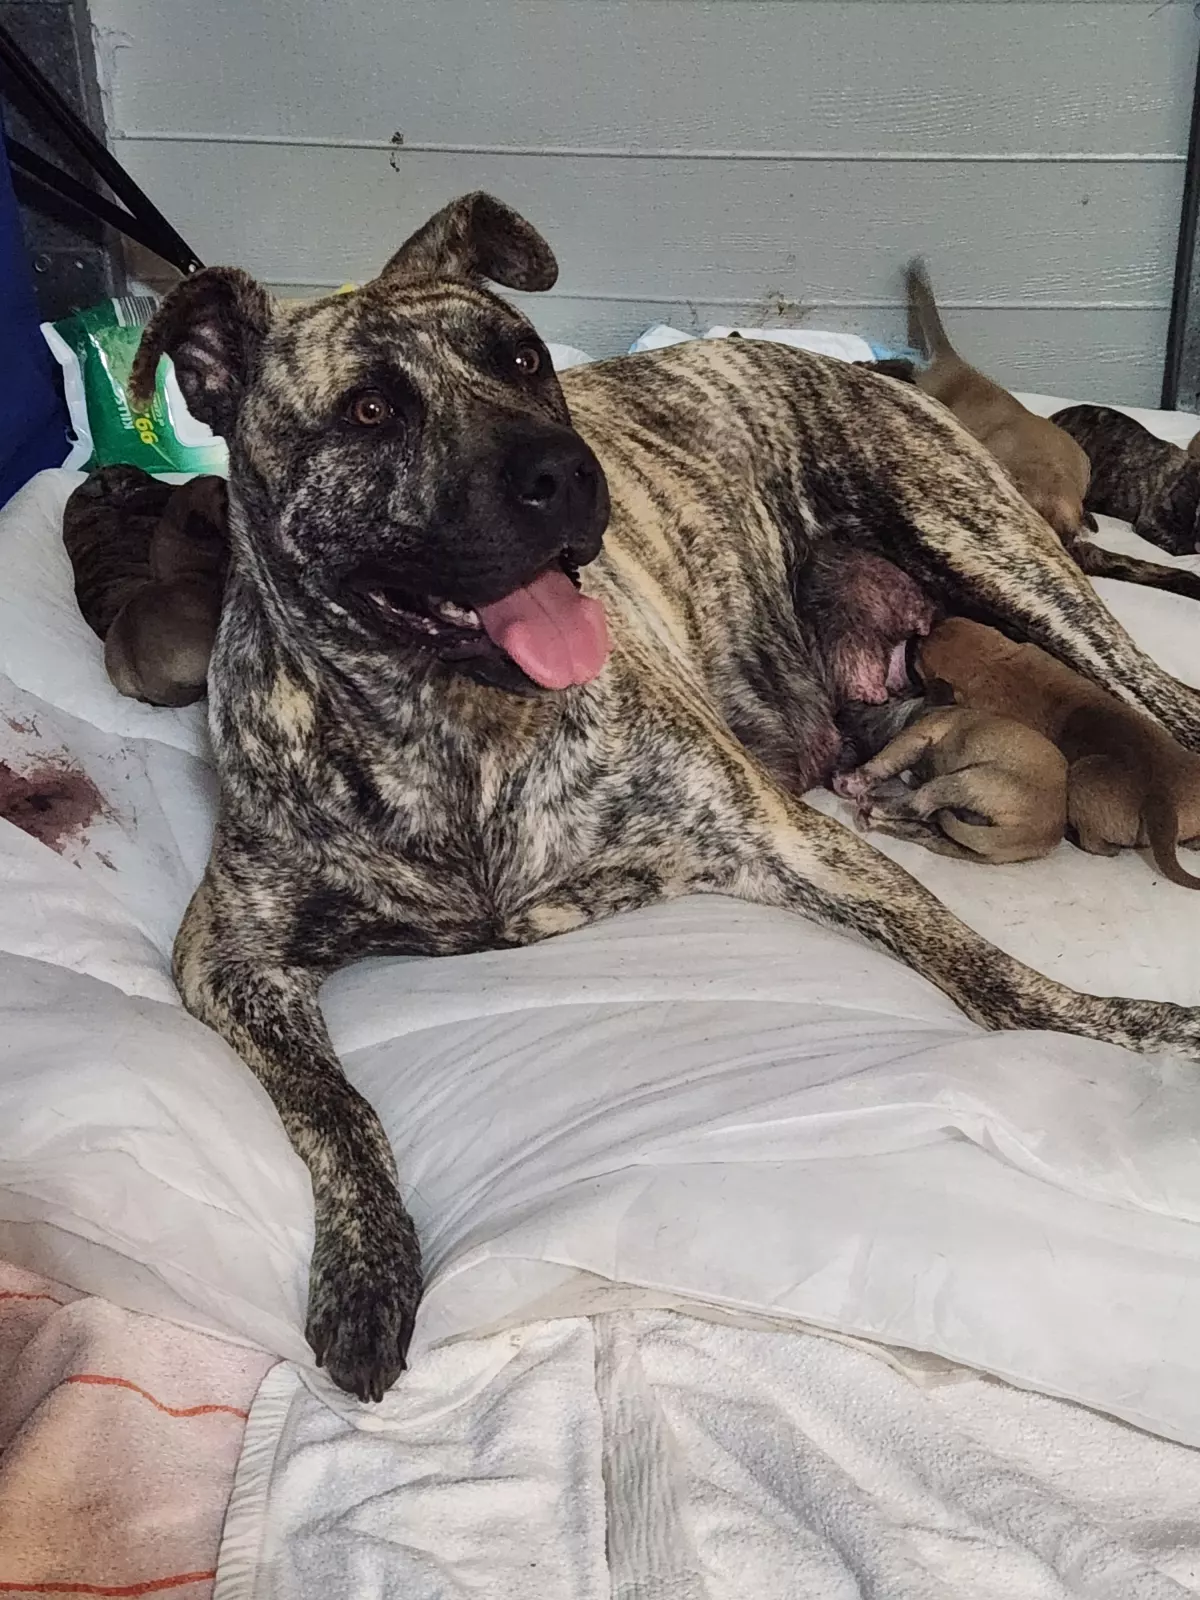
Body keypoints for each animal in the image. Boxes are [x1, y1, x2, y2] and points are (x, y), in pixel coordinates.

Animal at [833, 697, 1067, 863]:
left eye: (867, 705)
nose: (842, 709)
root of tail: (1048, 833)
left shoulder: (913, 737)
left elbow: (882, 761)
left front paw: (850, 780)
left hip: (967, 778)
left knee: (918, 806)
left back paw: (871, 805)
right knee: (925, 829)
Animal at [919, 617, 1200, 888]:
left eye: (920, 663)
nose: (922, 632)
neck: (991, 665)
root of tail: (1161, 800)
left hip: (1082, 777)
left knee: (1098, 846)